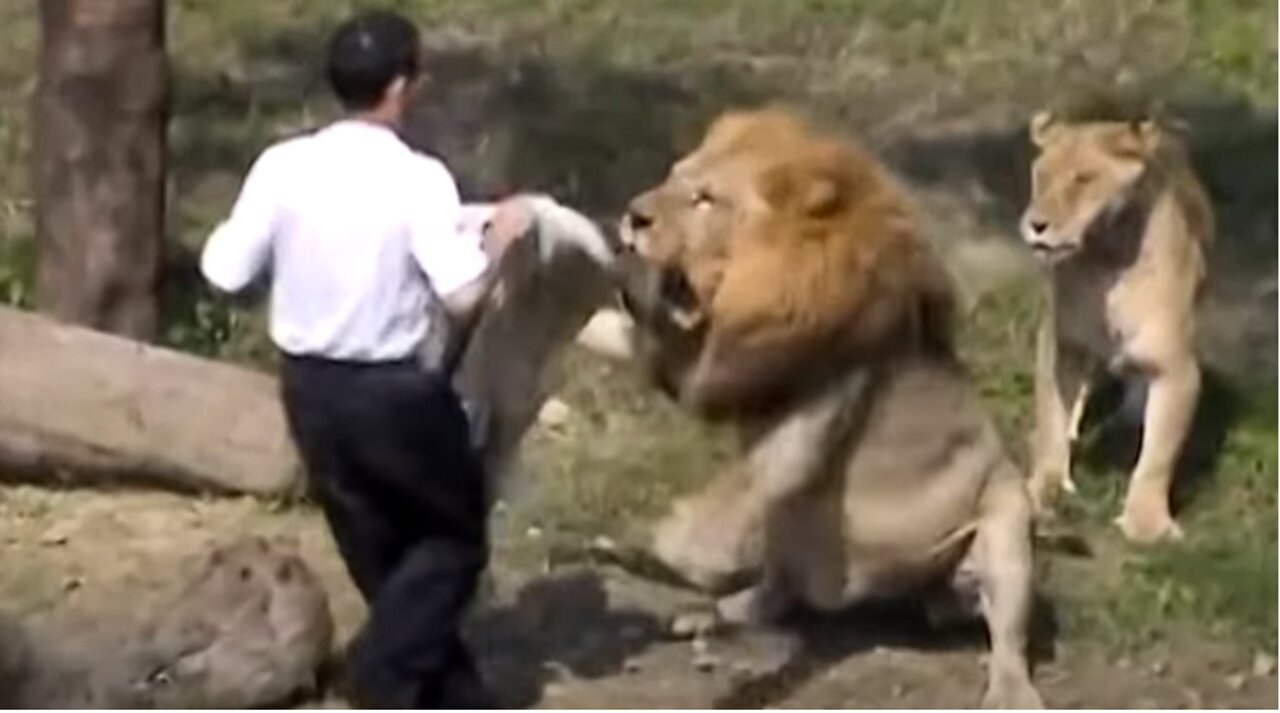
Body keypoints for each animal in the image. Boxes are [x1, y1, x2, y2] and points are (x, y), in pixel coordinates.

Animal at [581, 108, 1039, 706]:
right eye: (673, 177)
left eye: (706, 198)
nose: (633, 216)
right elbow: (615, 331)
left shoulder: (808, 412)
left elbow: (730, 494)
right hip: (790, 531)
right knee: (776, 594)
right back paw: (718, 611)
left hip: (1007, 526)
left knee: (1008, 636)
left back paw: (1010, 690)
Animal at [1018, 111, 1208, 540]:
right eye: (1041, 175)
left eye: (1084, 179)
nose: (1036, 224)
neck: (1106, 261)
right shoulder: (1061, 346)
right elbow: (1051, 420)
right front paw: (1043, 490)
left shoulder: (1178, 371)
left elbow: (1158, 456)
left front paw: (1147, 523)